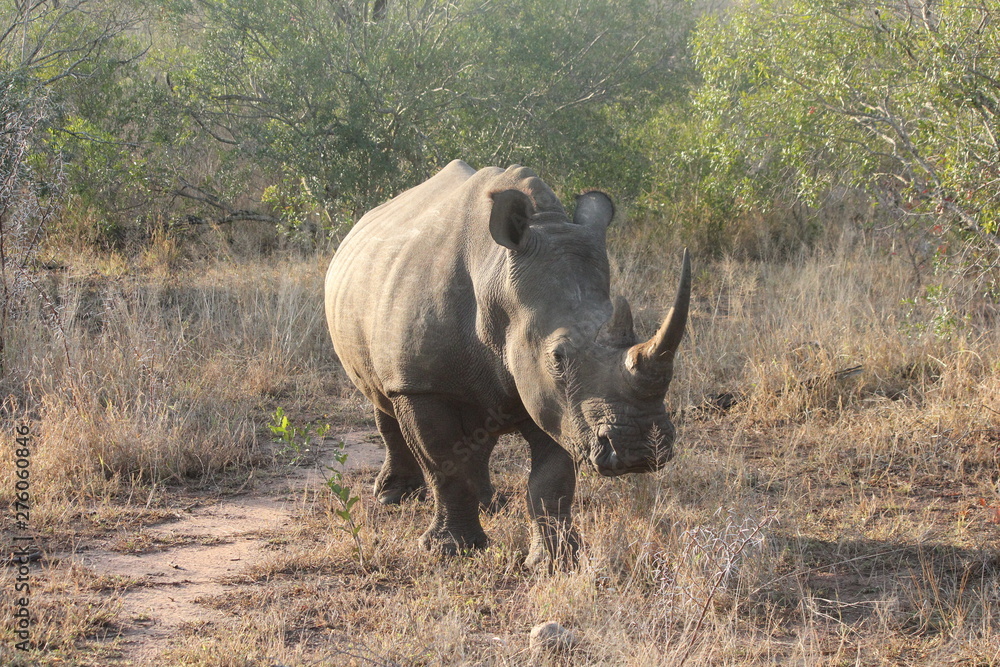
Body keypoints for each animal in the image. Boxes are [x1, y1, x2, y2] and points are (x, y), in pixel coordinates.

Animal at [325, 160, 690, 567]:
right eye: (558, 357)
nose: (641, 450)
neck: (496, 279)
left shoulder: (557, 402)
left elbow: (551, 481)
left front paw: (555, 561)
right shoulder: (419, 384)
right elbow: (445, 467)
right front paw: (451, 550)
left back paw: (491, 504)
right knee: (380, 399)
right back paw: (394, 497)